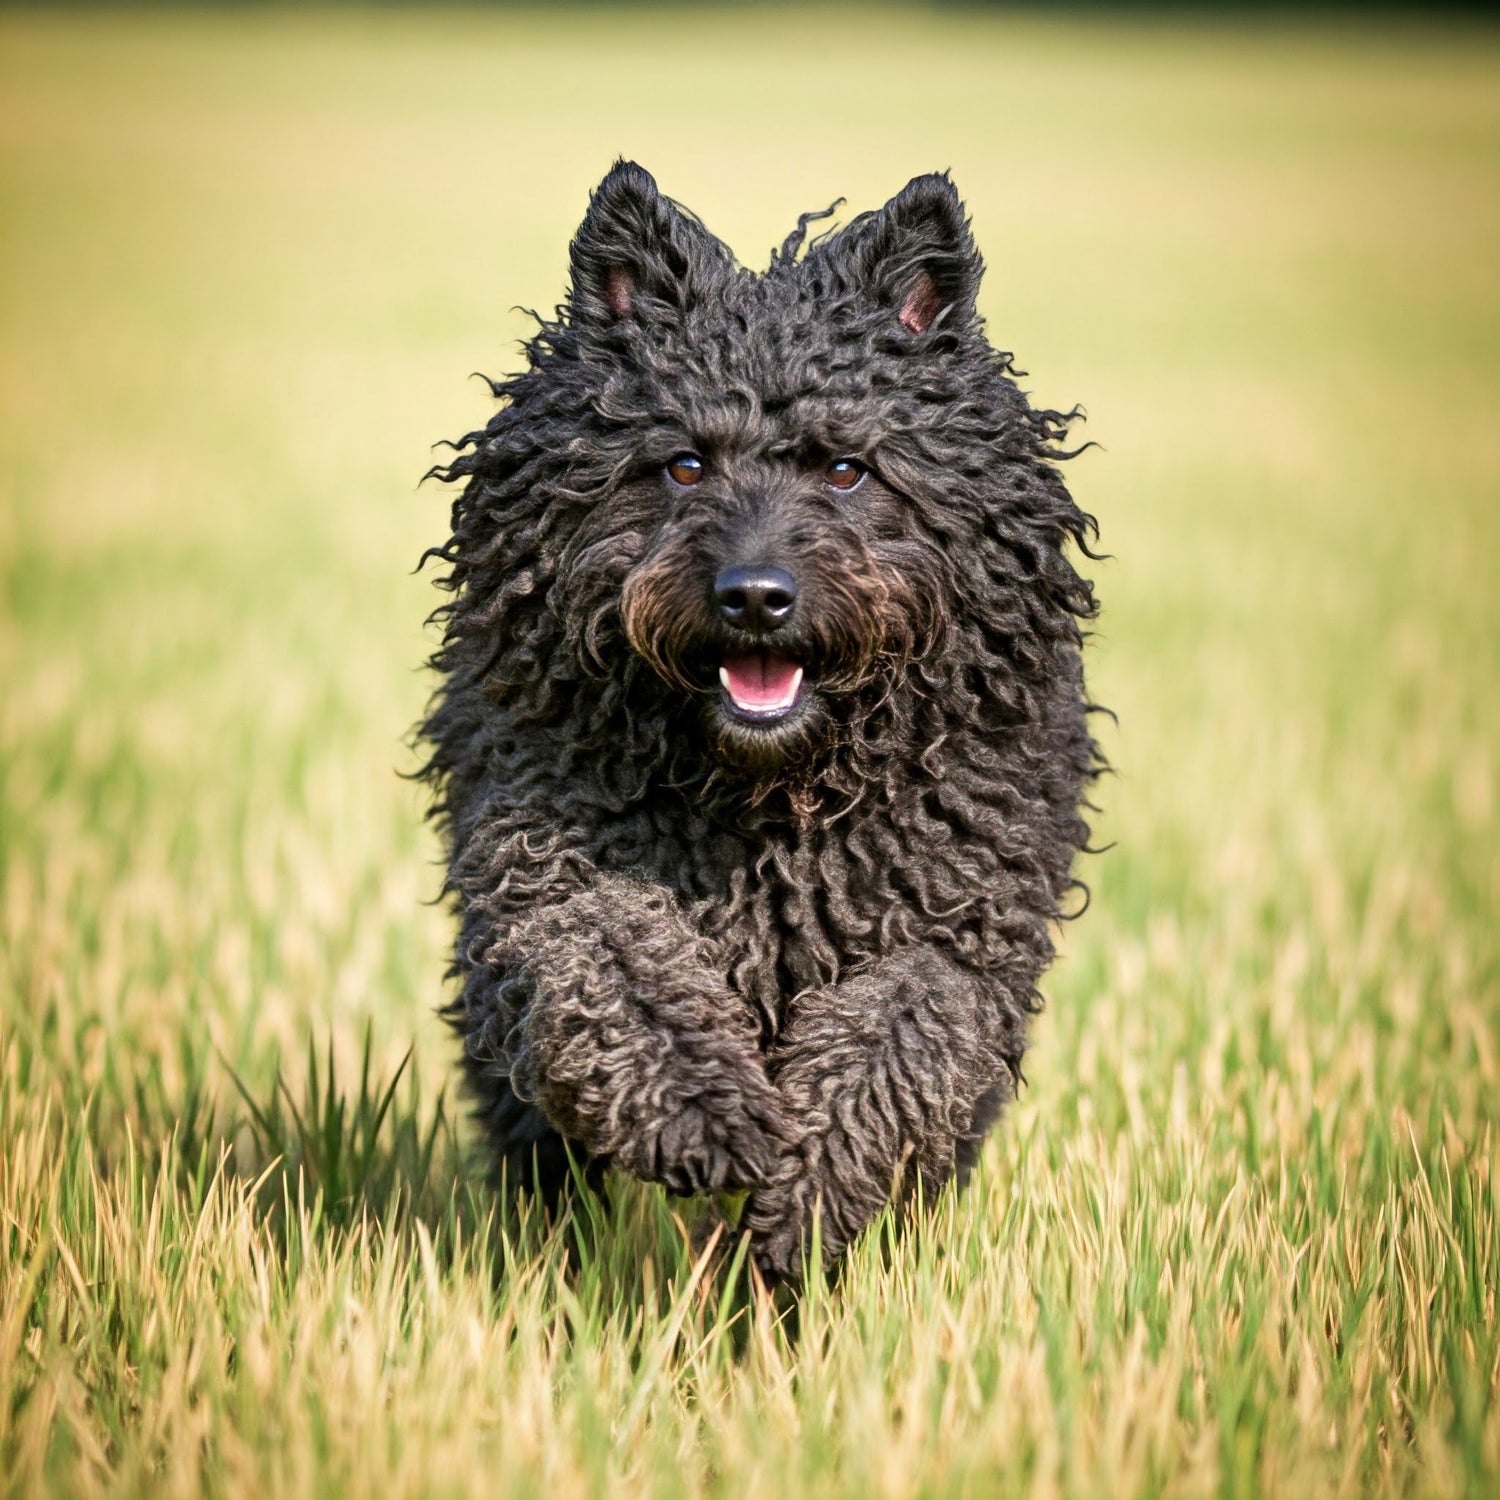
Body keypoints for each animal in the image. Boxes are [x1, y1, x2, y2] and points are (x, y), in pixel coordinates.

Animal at [417, 167, 1098, 1290]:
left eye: (848, 468)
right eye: (685, 464)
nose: (755, 597)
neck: (770, 798)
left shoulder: (958, 926)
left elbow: (892, 1037)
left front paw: (810, 1187)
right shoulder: (547, 869)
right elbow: (617, 968)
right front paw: (705, 1112)